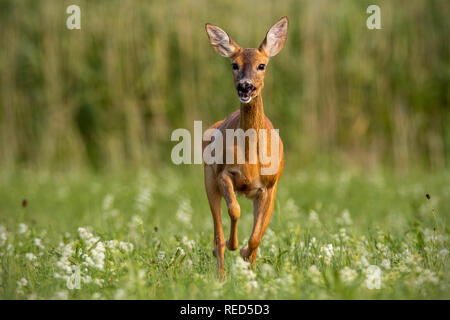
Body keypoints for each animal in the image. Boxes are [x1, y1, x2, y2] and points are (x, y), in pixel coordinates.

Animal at [204, 16, 288, 278]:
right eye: (234, 64)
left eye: (262, 65)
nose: (245, 86)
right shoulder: (223, 173)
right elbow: (234, 210)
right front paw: (235, 245)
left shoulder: (270, 186)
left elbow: (257, 236)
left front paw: (244, 253)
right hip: (208, 179)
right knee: (217, 235)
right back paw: (220, 275)